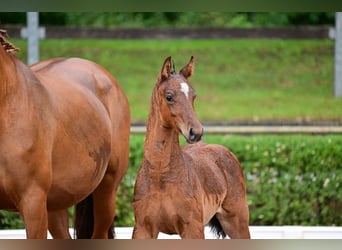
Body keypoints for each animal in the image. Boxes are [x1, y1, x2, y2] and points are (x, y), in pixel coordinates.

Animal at [132, 56, 250, 238]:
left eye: (194, 96)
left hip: (238, 223)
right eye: (169, 96)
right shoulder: (142, 228)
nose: (196, 132)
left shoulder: (192, 228)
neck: (160, 176)